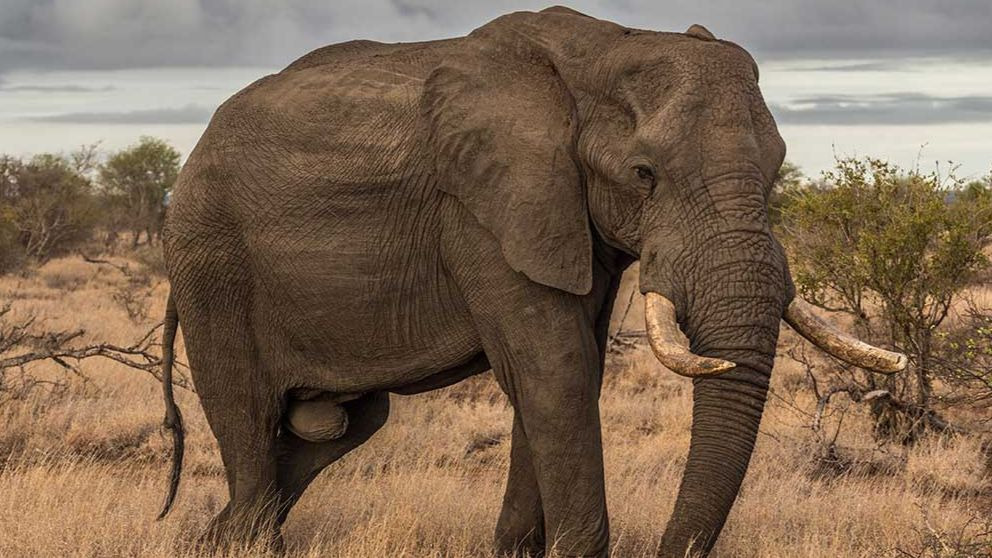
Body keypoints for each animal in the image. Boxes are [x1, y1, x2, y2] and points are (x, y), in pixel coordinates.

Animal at [156, 6, 906, 557]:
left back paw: (217, 535)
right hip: (211, 260)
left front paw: (514, 551)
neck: (601, 49)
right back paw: (243, 542)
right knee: (249, 415)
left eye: (777, 170)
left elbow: (571, 368)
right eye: (644, 175)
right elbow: (557, 366)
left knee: (343, 425)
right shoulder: (482, 209)